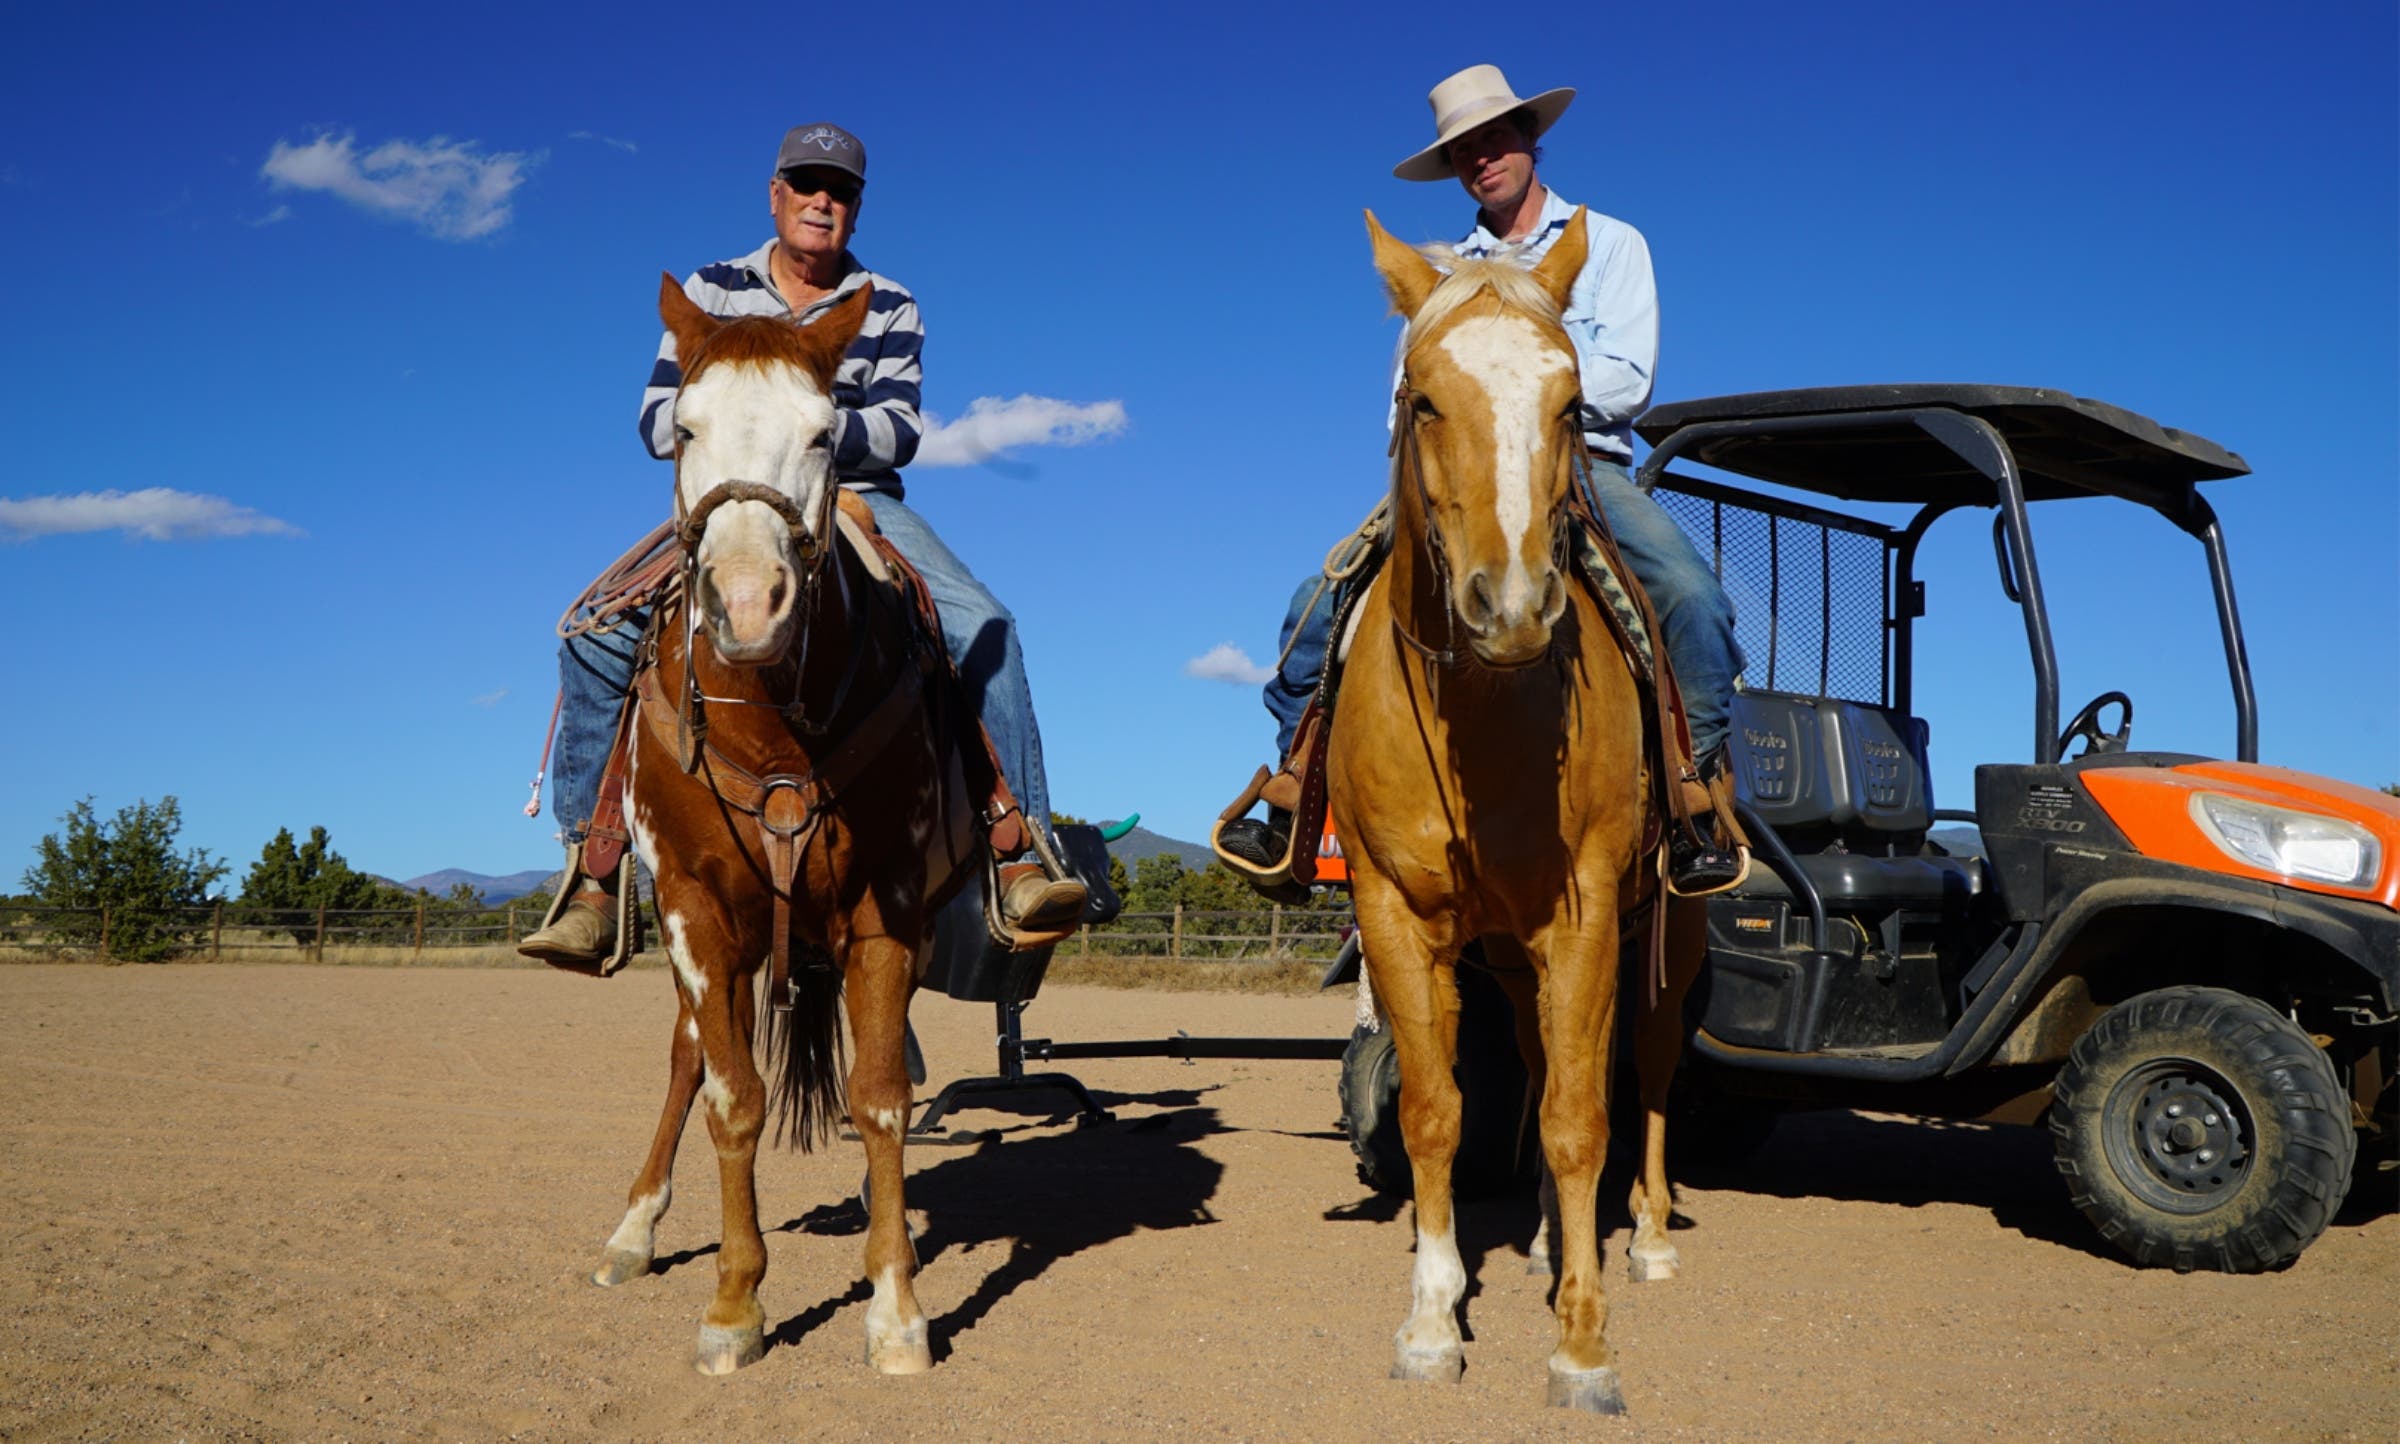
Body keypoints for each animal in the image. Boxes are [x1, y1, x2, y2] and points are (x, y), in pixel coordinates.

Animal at [585, 275, 988, 1378]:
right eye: (683, 426)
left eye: (823, 432)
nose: (747, 602)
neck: (770, 725)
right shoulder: (692, 908)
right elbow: (733, 1096)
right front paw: (734, 1304)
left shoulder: (887, 913)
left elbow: (882, 1098)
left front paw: (895, 1307)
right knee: (689, 1059)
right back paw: (631, 1231)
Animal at [1330, 210, 1707, 1415]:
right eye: (1423, 399)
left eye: (1572, 404)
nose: (1511, 607)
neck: (1485, 713)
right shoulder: (1398, 916)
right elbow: (1438, 1110)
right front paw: (1430, 1320)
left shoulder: (1584, 918)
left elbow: (1584, 1118)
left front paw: (1582, 1345)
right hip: (1506, 953)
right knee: (1544, 1067)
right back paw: (1546, 1240)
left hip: (1668, 936)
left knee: (1645, 1072)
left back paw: (1644, 1240)